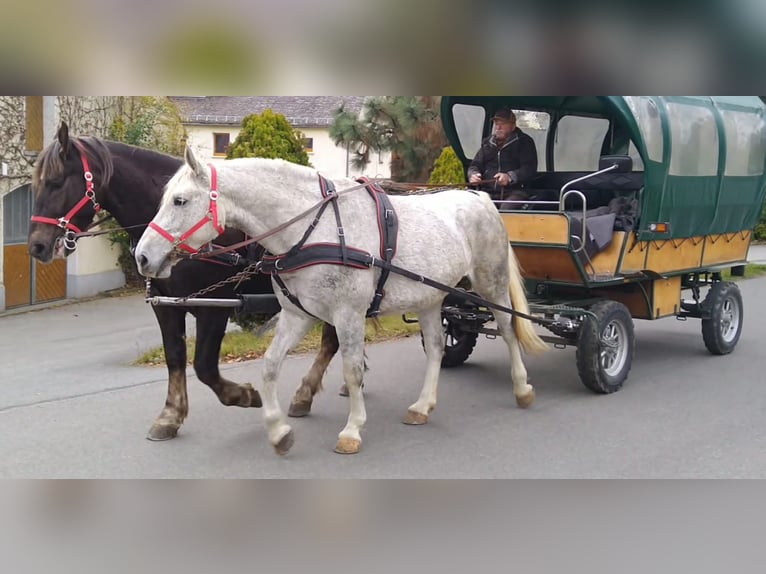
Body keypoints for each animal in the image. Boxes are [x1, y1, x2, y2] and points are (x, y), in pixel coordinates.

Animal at [27, 123, 344, 441]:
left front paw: (243, 395)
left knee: (331, 340)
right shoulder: (165, 305)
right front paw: (170, 415)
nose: (36, 246)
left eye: (56, 182)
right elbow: (175, 356)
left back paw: (307, 393)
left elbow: (203, 366)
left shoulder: (214, 306)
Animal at [135, 146, 548, 456]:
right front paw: (278, 431)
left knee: (508, 329)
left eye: (180, 200)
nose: (141, 257)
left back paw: (522, 389)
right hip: (431, 297)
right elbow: (269, 367)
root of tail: (480, 195)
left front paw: (351, 430)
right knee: (434, 347)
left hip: (491, 283)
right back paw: (422, 406)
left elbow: (352, 371)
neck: (313, 229)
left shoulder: (349, 314)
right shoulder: (297, 315)